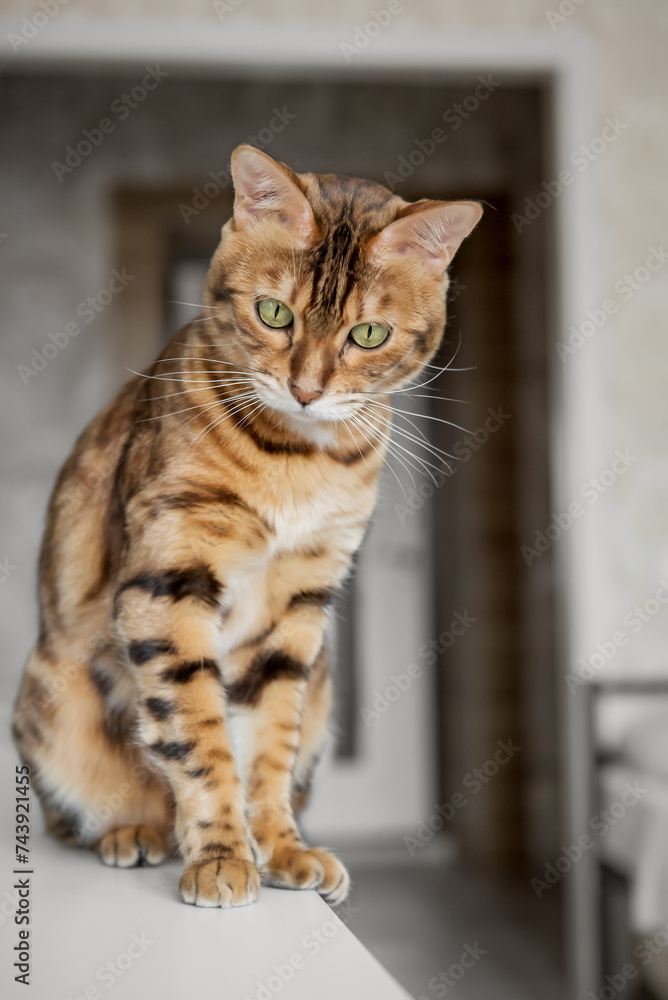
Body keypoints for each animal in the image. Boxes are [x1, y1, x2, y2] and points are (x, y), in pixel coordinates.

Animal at [10, 146, 480, 908]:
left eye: (368, 334)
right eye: (273, 312)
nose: (307, 390)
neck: (297, 462)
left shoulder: (299, 606)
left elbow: (267, 746)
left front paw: (281, 848)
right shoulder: (168, 579)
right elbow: (199, 736)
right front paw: (223, 856)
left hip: (324, 684)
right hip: (49, 697)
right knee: (77, 813)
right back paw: (135, 831)